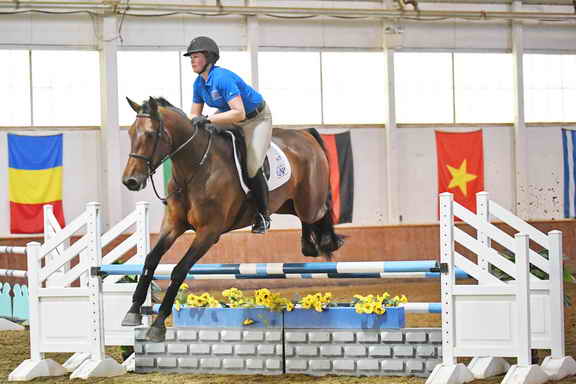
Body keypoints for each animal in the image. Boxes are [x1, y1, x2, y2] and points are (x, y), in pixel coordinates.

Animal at [120, 97, 342, 342]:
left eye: (150, 134)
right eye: (130, 133)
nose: (130, 181)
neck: (194, 168)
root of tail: (305, 134)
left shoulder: (209, 232)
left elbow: (179, 270)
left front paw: (158, 324)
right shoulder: (173, 225)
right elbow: (151, 259)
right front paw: (133, 311)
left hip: (308, 202)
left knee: (322, 210)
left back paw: (327, 242)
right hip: (287, 203)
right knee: (305, 218)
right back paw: (308, 245)